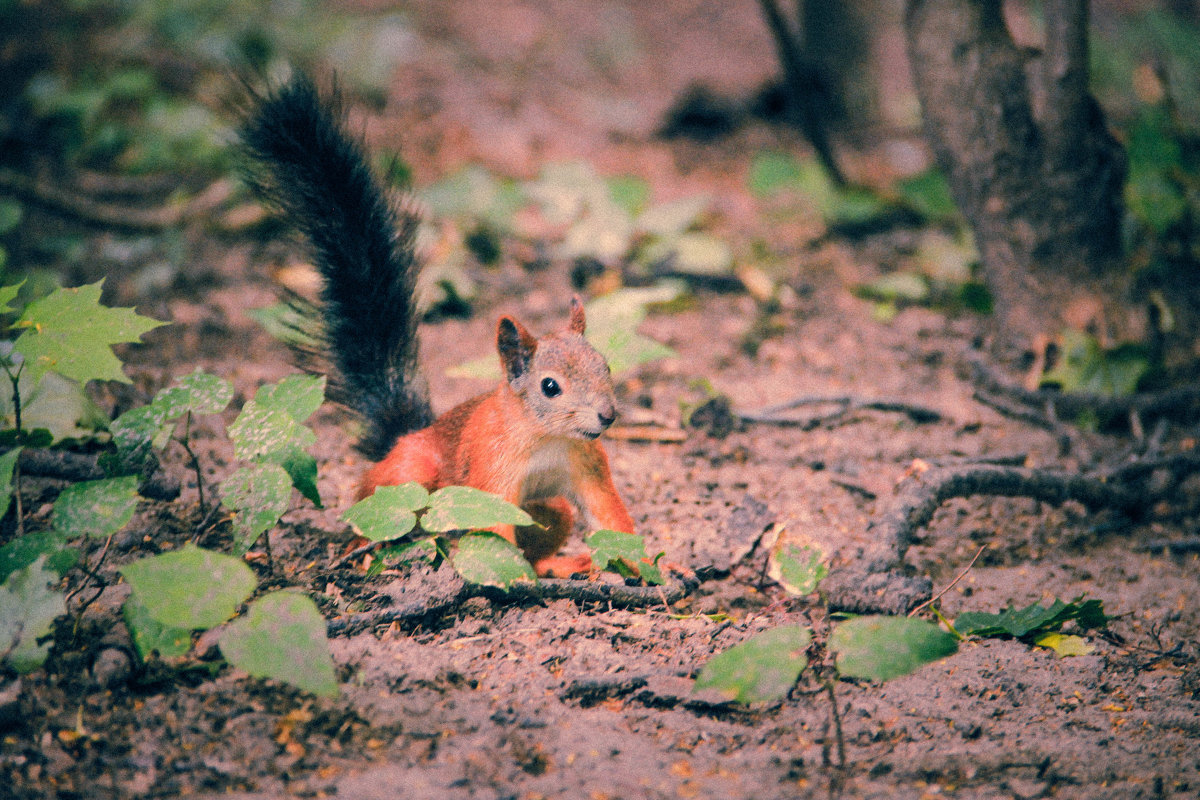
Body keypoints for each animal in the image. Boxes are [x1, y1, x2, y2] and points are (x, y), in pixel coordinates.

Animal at [240, 73, 643, 575]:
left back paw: (558, 567)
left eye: (605, 366)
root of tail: (407, 437)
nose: (607, 415)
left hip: (550, 511)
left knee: (548, 529)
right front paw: (513, 580)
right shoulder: (491, 472)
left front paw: (663, 571)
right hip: (411, 476)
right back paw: (365, 549)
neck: (546, 437)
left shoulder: (587, 466)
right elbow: (493, 531)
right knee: (381, 507)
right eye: (550, 387)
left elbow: (612, 521)